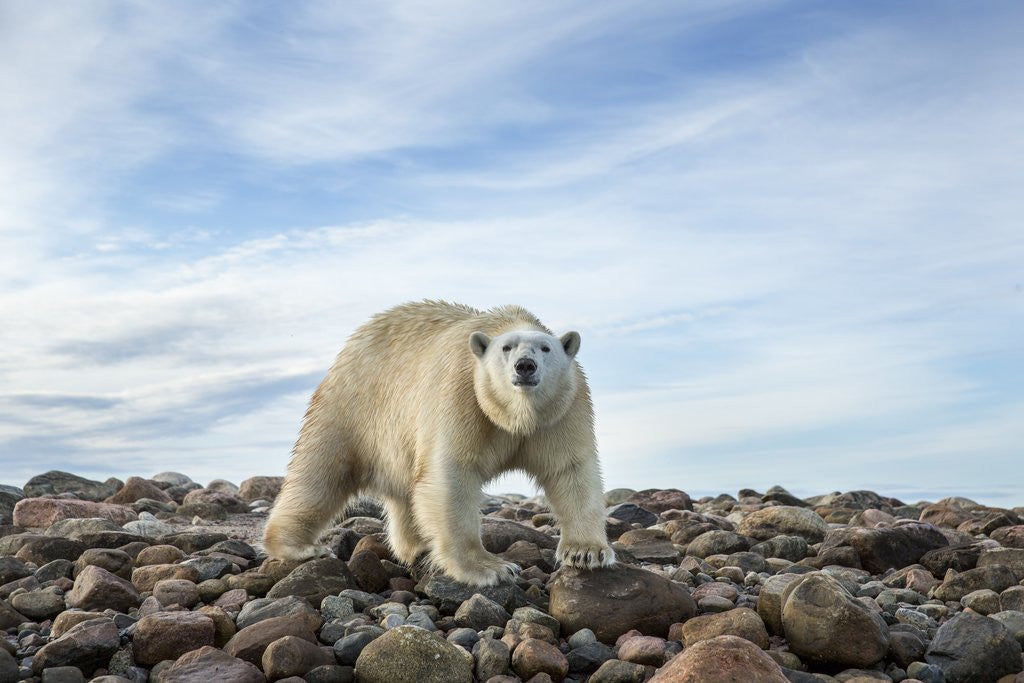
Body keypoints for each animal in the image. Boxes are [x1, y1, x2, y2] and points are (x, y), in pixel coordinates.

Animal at [263, 300, 614, 586]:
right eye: (507, 348)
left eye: (545, 348)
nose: (524, 366)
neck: (516, 415)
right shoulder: (462, 393)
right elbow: (451, 475)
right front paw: (491, 568)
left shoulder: (562, 408)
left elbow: (570, 469)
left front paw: (587, 553)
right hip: (352, 404)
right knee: (321, 472)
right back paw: (301, 547)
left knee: (404, 492)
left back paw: (416, 546)